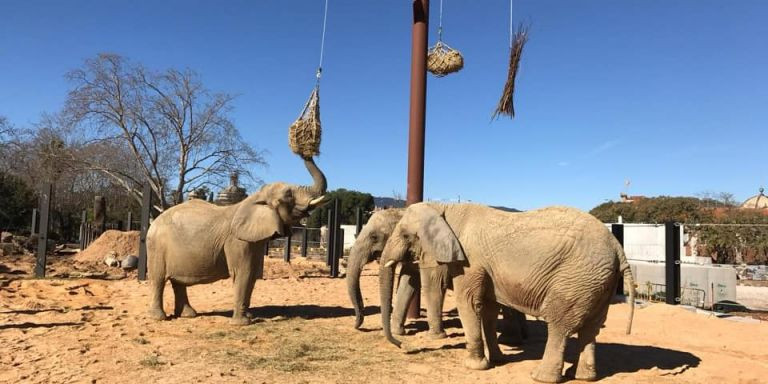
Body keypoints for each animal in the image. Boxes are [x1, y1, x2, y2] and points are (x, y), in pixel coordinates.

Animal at [146, 158, 328, 326]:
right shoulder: (236, 240)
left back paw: (188, 315)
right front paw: (242, 323)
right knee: (158, 279)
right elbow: (243, 272)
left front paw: (249, 317)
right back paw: (159, 318)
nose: (306, 152)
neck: (255, 198)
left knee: (177, 282)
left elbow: (253, 274)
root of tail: (153, 222)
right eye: (288, 195)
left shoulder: (254, 240)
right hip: (156, 247)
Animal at [348, 208, 528, 344]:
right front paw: (399, 332)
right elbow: (408, 282)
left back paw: (510, 339)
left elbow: (431, 283)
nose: (358, 325)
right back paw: (521, 337)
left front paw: (435, 337)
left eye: (374, 237)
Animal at [378, 202, 636, 382]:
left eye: (404, 235)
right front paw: (498, 359)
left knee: (560, 326)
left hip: (576, 278)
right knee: (590, 328)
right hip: (597, 281)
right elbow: (489, 309)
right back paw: (584, 377)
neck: (445, 207)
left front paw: (474, 366)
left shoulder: (470, 261)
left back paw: (540, 377)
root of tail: (617, 246)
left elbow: (468, 301)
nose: (403, 346)